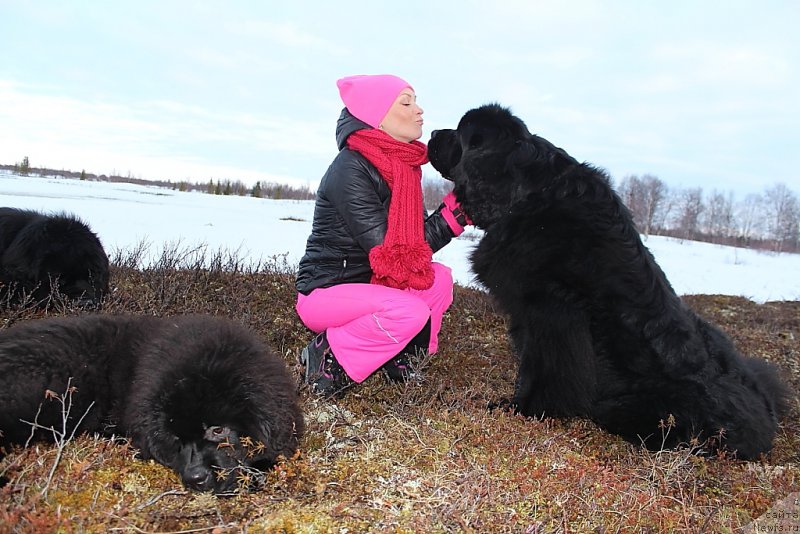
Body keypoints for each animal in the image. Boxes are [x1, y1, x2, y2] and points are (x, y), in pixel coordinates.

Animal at [428, 103, 792, 460]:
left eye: (460, 135)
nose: (431, 133)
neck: (527, 195)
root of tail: (765, 421)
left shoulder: (553, 313)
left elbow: (542, 368)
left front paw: (525, 408)